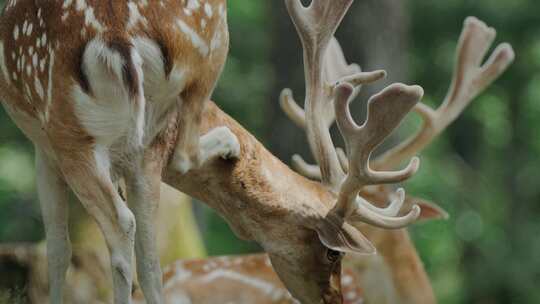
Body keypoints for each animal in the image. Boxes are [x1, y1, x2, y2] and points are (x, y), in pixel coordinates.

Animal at [0, 0, 236, 304]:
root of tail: (117, 37)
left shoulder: (44, 151)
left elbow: (57, 248)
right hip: (145, 140)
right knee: (151, 258)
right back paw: (229, 145)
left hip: (71, 135)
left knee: (125, 220)